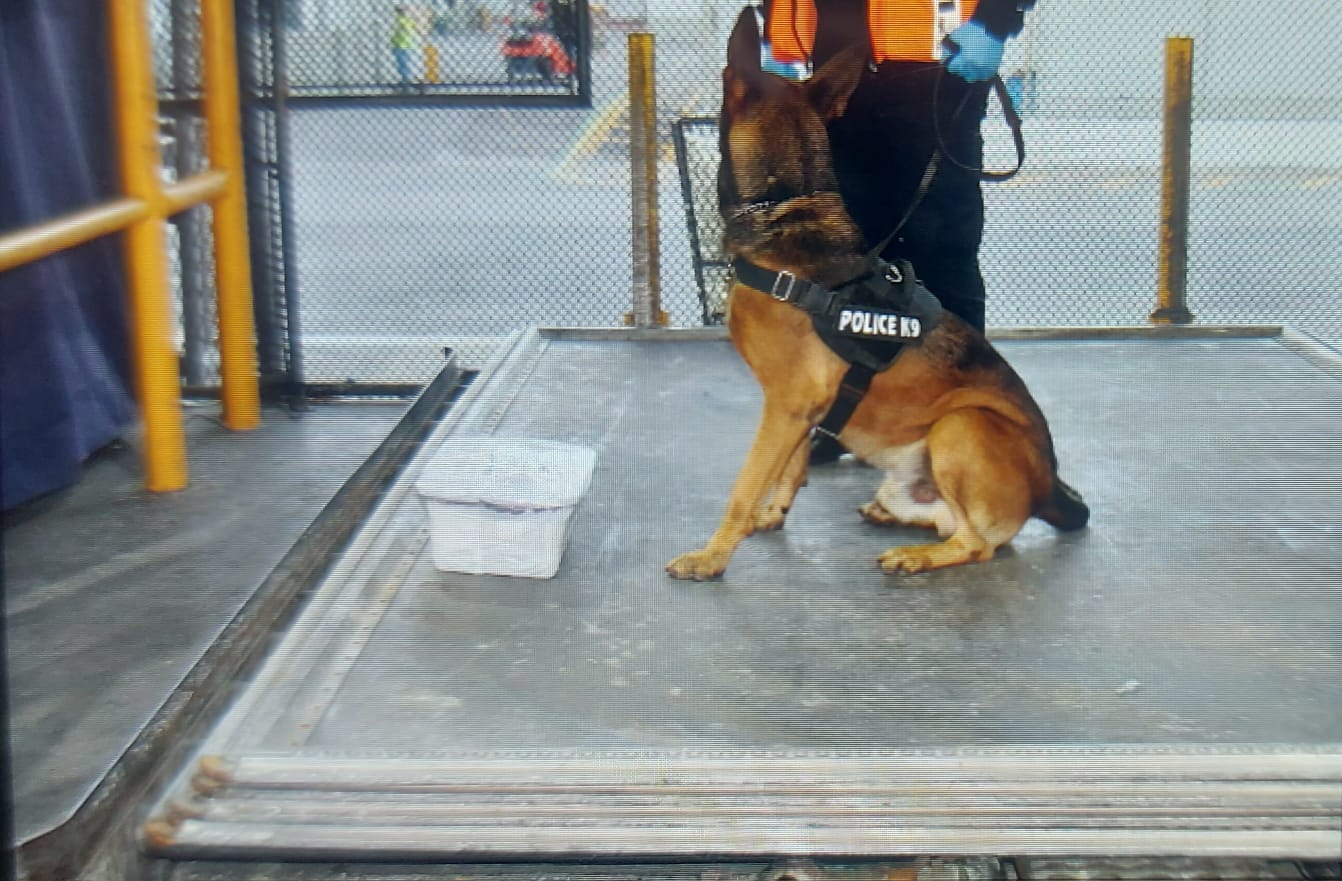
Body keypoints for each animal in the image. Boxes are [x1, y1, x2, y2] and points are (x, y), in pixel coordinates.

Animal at [665, 10, 1084, 585]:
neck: (790, 203)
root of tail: (1049, 493)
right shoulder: (799, 409)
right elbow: (790, 465)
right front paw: (771, 514)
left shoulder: (786, 403)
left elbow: (745, 485)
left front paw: (713, 555)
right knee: (950, 524)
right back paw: (894, 519)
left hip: (960, 424)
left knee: (977, 544)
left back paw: (915, 556)